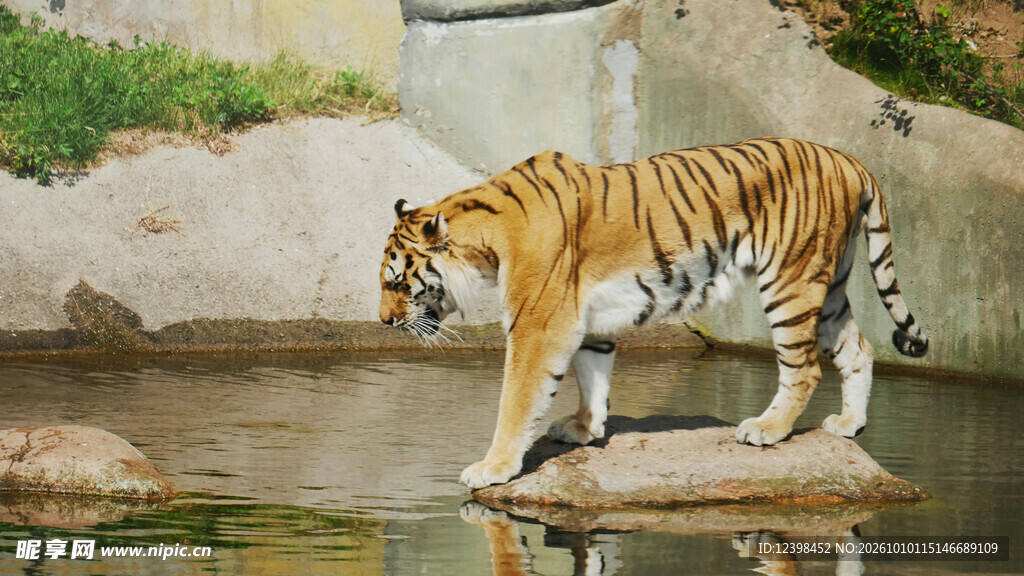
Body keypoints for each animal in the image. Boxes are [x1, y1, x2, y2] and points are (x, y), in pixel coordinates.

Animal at [378, 137, 928, 490]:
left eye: (397, 282)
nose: (384, 321)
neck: (485, 243)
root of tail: (848, 159)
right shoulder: (587, 320)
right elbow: (592, 376)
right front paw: (584, 429)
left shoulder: (538, 324)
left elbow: (516, 401)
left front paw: (491, 468)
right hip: (828, 285)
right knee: (859, 349)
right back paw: (849, 424)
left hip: (792, 281)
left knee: (806, 367)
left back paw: (766, 430)